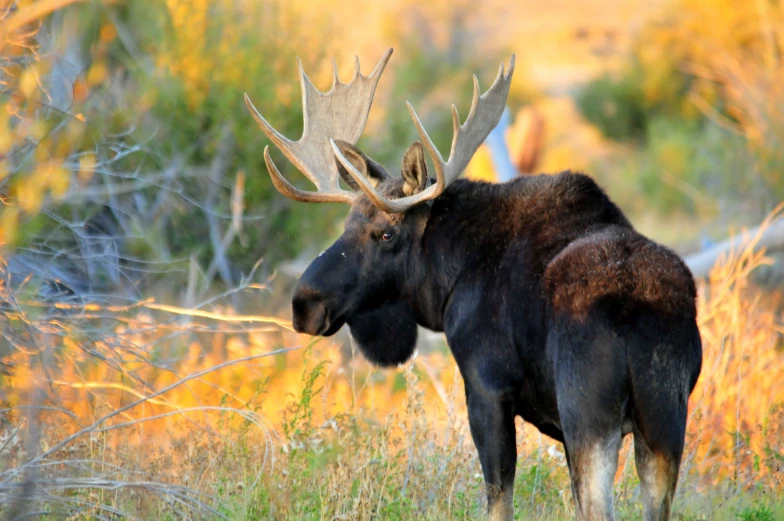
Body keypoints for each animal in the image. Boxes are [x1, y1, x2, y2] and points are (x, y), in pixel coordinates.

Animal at [242, 48, 700, 520]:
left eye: (385, 234)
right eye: (347, 223)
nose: (304, 303)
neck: (447, 277)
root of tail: (636, 312)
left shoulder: (486, 388)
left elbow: (498, 500)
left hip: (588, 415)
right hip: (664, 420)